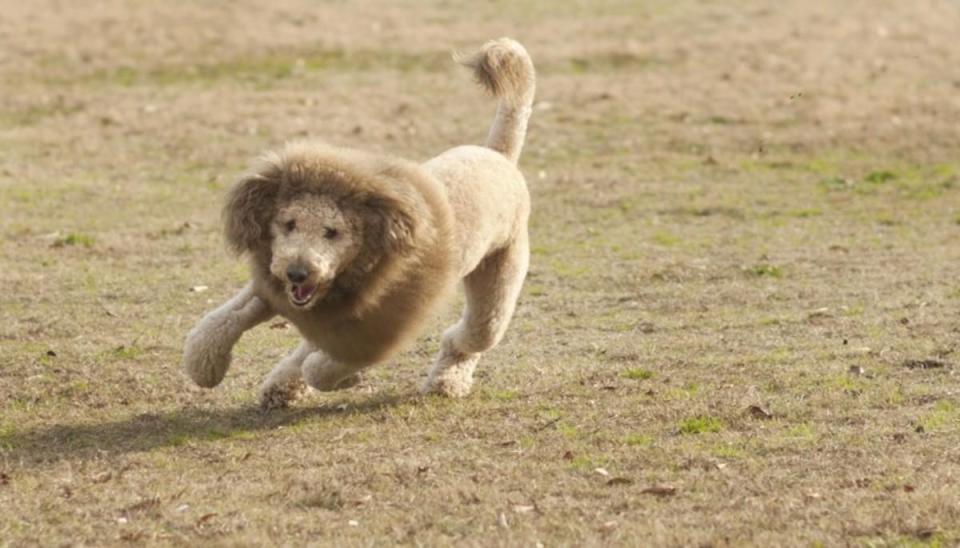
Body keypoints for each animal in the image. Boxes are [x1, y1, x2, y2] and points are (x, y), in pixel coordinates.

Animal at [184, 37, 536, 406]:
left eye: (332, 233)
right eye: (288, 223)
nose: (297, 273)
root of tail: (498, 155)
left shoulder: (376, 329)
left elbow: (323, 367)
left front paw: (346, 378)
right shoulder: (276, 289)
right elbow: (219, 324)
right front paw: (204, 366)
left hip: (497, 284)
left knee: (469, 336)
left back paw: (445, 381)